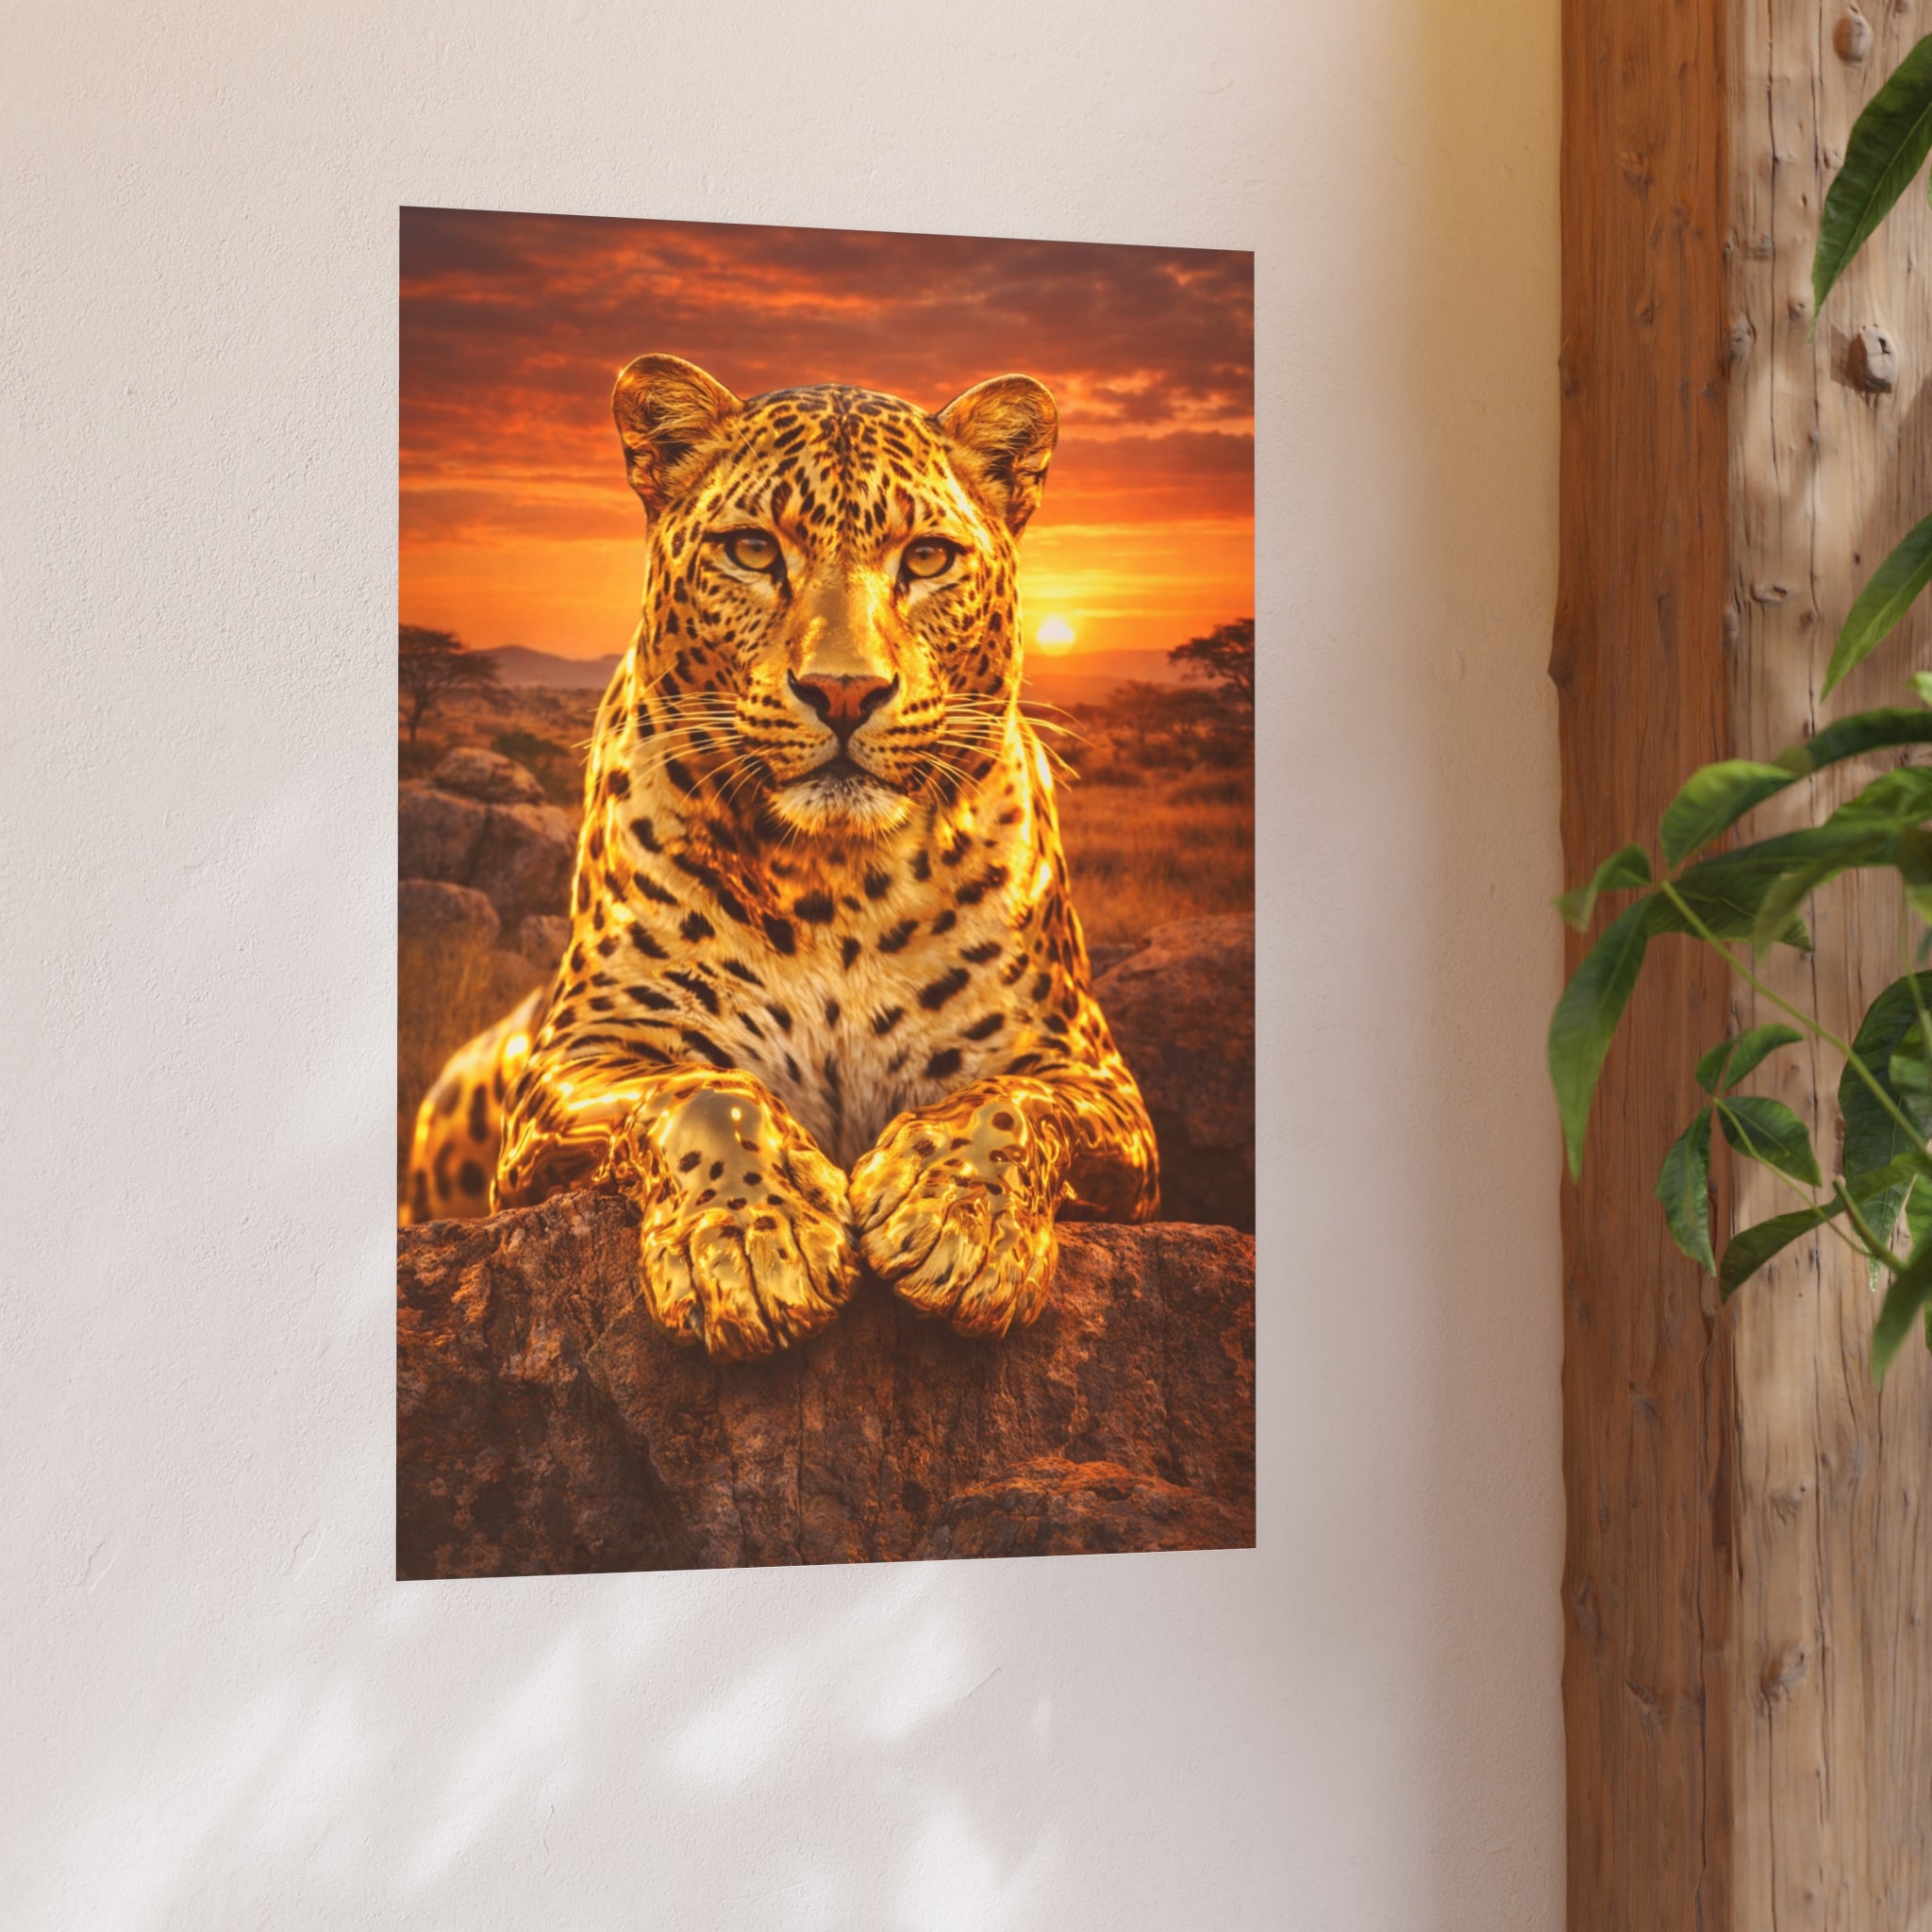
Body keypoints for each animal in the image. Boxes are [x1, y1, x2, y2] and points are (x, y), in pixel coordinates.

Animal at [403, 353, 1158, 1359]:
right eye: (754, 551)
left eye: (927, 558)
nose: (843, 691)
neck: (836, 883)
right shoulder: (583, 1056)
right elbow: (698, 1087)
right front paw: (754, 1243)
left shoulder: (1086, 1071)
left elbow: (1004, 1102)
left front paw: (958, 1225)